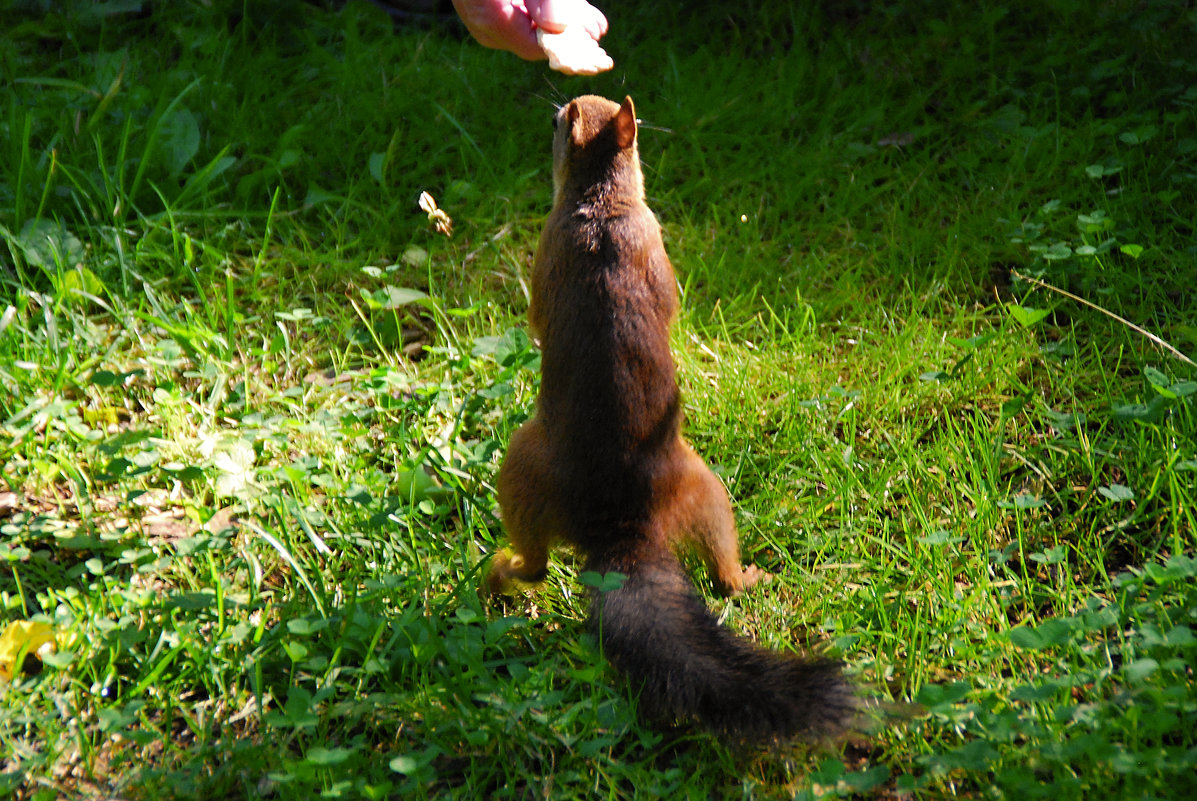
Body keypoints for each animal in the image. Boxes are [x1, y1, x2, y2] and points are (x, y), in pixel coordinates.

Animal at [485, 95, 852, 742]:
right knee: (713, 569)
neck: (603, 204)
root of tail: (620, 522)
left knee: (538, 566)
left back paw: (499, 574)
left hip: (540, 473)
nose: (557, 107)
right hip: (699, 491)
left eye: (562, 120)